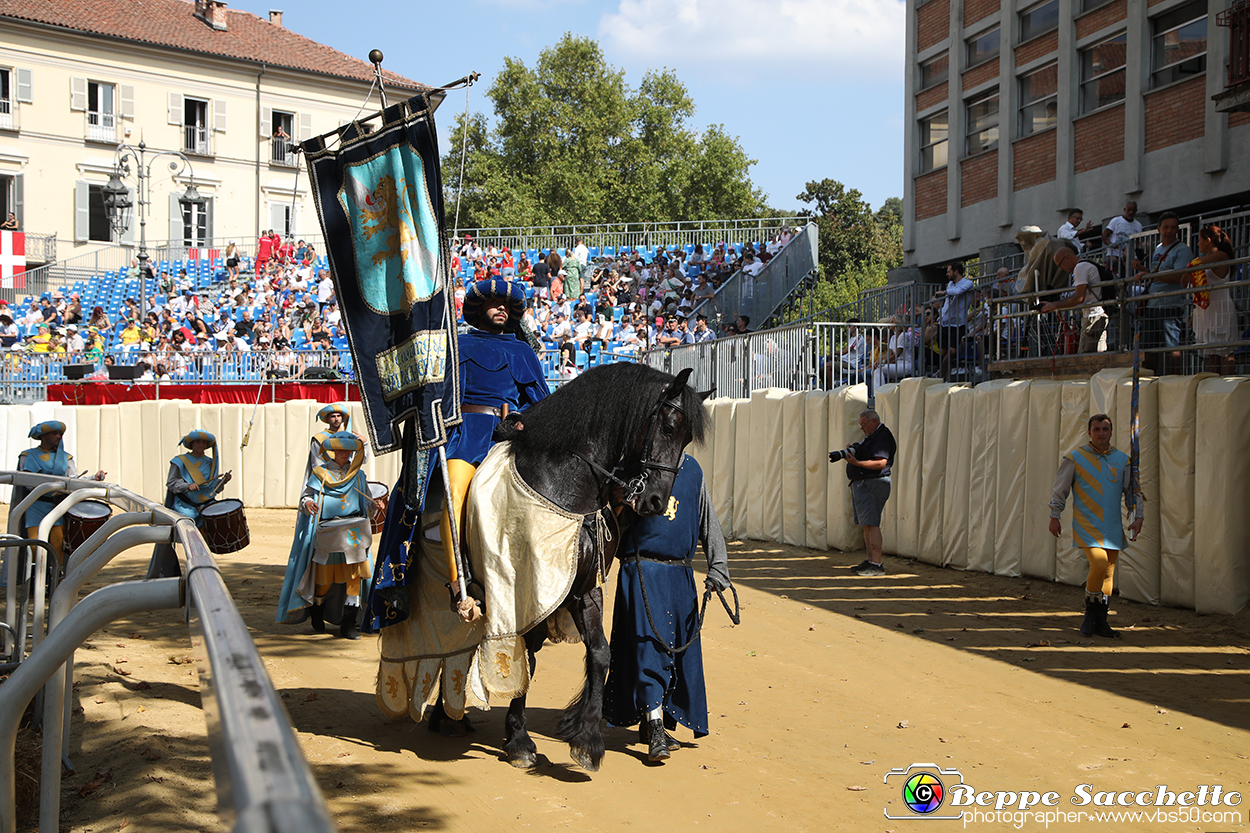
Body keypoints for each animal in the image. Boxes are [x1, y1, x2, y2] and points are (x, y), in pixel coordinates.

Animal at [477, 362, 710, 765]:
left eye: (687, 440)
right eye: (668, 426)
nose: (655, 501)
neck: (565, 487)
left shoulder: (580, 589)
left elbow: (600, 654)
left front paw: (585, 738)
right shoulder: (528, 591)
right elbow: (526, 654)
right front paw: (520, 738)